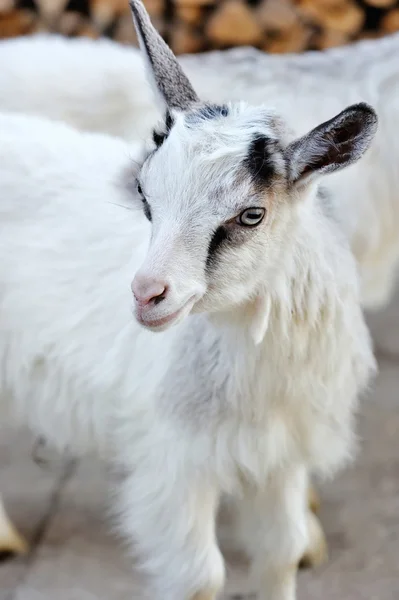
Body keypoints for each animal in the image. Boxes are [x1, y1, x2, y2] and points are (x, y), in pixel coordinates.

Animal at [0, 2, 386, 596]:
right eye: (144, 193)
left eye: (252, 214)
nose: (147, 295)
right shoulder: (174, 466)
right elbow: (200, 577)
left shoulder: (281, 457)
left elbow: (281, 551)